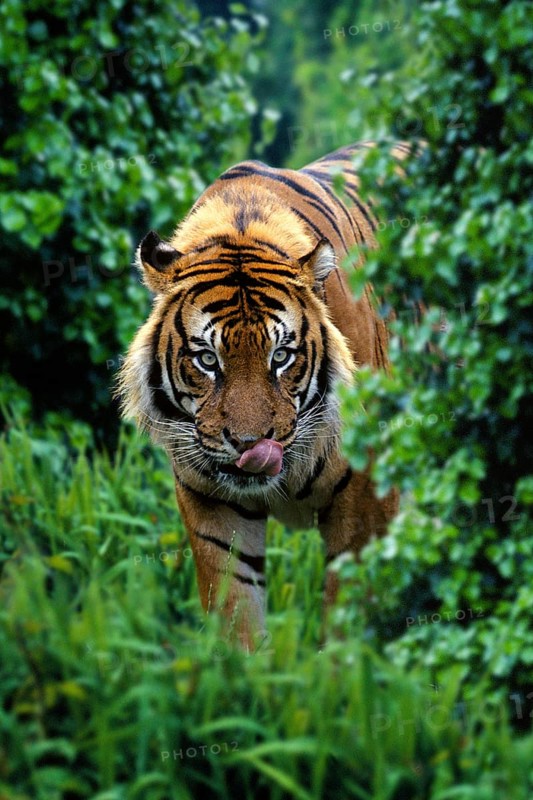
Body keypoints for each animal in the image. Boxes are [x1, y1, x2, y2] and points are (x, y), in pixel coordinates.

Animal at [118, 141, 410, 651]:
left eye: (281, 356)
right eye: (207, 360)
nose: (250, 445)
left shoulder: (367, 498)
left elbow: (347, 624)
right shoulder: (212, 503)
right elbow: (236, 613)